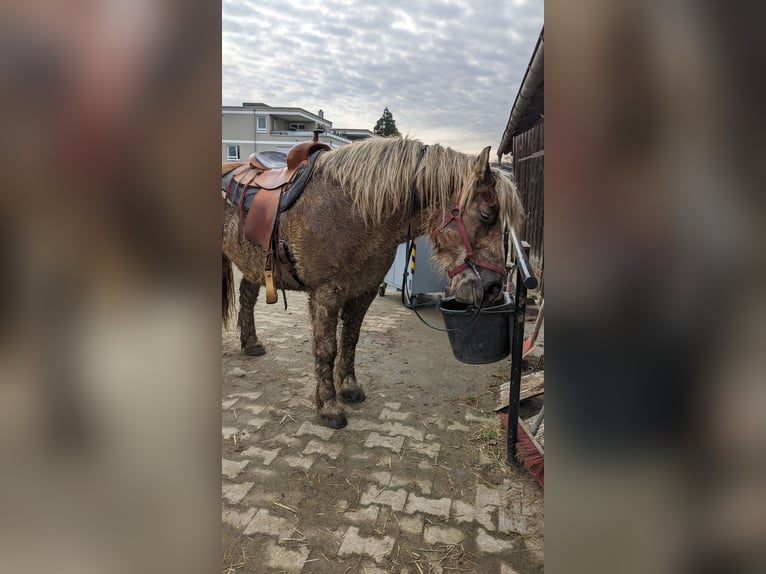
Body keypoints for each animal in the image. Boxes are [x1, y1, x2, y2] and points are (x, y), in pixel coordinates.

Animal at [219, 137, 524, 430]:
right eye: (486, 215)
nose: (494, 288)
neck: (354, 210)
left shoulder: (363, 291)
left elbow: (350, 340)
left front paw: (349, 387)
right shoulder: (325, 293)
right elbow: (326, 349)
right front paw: (329, 406)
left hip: (254, 265)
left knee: (247, 297)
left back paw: (251, 344)